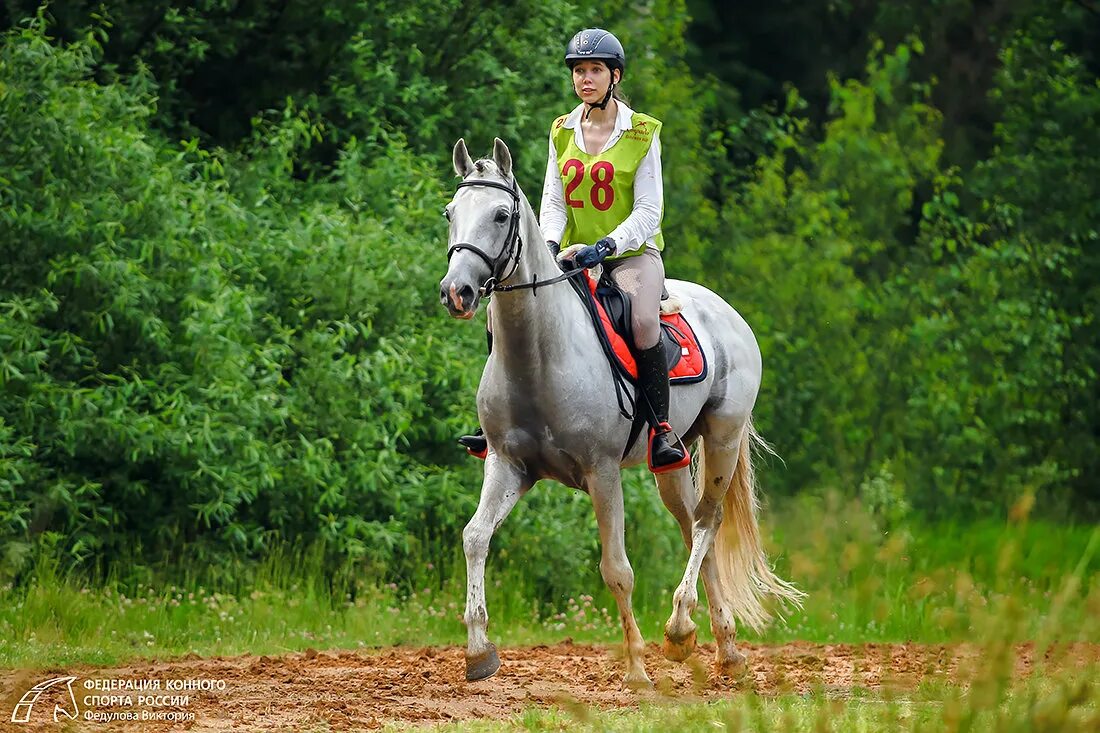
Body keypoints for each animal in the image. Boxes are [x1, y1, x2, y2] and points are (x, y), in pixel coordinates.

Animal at [440, 135, 809, 686]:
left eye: (502, 215)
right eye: (450, 213)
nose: (456, 292)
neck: (540, 355)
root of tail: (726, 311)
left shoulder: (602, 471)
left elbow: (617, 569)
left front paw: (636, 668)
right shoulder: (508, 466)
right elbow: (475, 538)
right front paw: (479, 652)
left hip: (722, 436)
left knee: (708, 521)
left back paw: (679, 630)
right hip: (671, 462)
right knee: (693, 527)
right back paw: (721, 648)